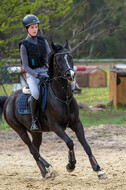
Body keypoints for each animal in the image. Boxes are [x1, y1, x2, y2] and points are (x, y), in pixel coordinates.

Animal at [2, 41, 106, 180]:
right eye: (58, 59)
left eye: (70, 57)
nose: (70, 75)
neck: (63, 97)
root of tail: (8, 99)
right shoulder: (56, 127)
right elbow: (70, 142)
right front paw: (70, 165)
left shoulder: (77, 123)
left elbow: (86, 145)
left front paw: (98, 169)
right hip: (20, 131)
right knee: (32, 149)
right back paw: (49, 168)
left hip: (36, 132)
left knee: (35, 149)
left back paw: (45, 172)